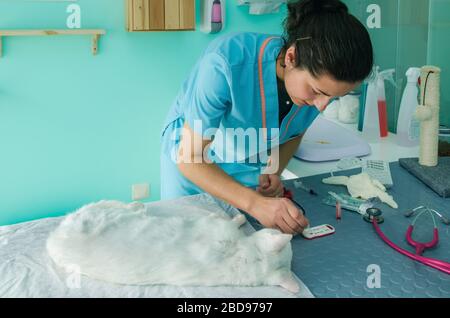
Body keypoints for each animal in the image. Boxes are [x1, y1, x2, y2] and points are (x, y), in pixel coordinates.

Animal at [45, 201, 300, 294]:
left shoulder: (213, 223)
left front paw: (238, 219)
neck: (246, 257)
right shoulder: (214, 223)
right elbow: (227, 219)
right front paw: (240, 218)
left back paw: (138, 205)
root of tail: (54, 239)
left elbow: (224, 218)